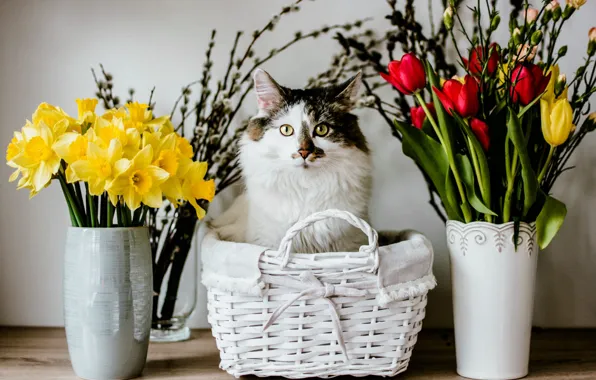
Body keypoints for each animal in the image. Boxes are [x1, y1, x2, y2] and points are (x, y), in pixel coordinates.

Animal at [208, 69, 372, 252]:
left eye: (322, 129)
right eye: (286, 130)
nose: (304, 151)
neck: (306, 185)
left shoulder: (351, 244)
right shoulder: (267, 242)